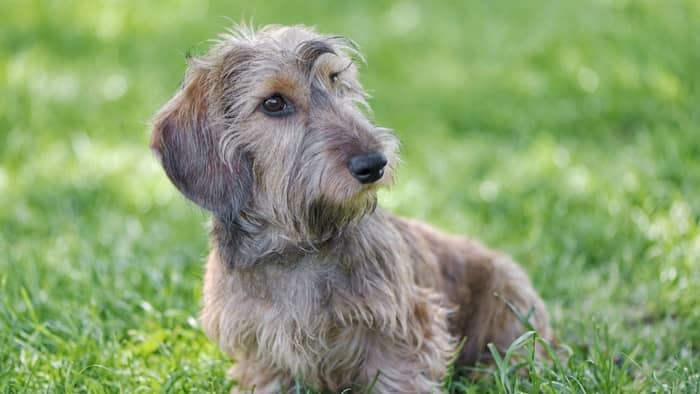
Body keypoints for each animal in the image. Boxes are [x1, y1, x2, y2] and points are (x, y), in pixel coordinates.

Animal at [150, 23, 548, 390]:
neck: (297, 245)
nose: (374, 163)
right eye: (273, 103)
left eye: (335, 79)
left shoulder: (400, 334)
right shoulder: (261, 353)